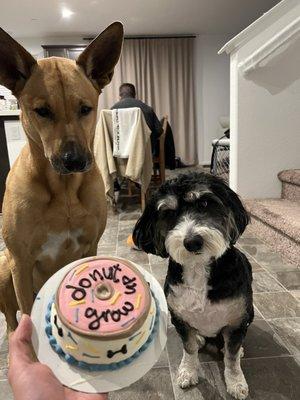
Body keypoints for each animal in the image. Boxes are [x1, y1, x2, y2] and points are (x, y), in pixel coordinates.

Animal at [0, 21, 123, 330]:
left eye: (86, 109)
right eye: (42, 111)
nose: (75, 160)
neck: (64, 190)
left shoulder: (91, 247)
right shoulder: (20, 261)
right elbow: (26, 317)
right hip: (5, 269)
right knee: (11, 321)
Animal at [134, 173, 253, 400]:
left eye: (205, 203)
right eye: (169, 213)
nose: (192, 242)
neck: (199, 268)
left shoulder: (237, 320)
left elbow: (232, 358)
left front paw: (236, 382)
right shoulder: (179, 317)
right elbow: (189, 349)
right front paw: (188, 372)